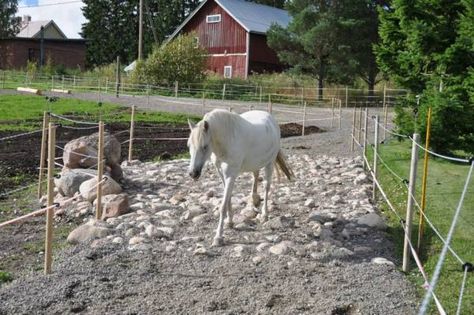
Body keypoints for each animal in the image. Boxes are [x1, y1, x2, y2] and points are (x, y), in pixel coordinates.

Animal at [186, 109, 292, 247]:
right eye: (189, 146)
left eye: (204, 146)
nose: (193, 173)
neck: (227, 140)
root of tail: (270, 117)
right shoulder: (222, 174)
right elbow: (228, 200)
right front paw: (229, 222)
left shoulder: (231, 175)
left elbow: (223, 206)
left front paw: (218, 237)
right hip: (256, 163)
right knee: (255, 177)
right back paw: (254, 200)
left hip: (269, 163)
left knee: (266, 187)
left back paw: (264, 215)